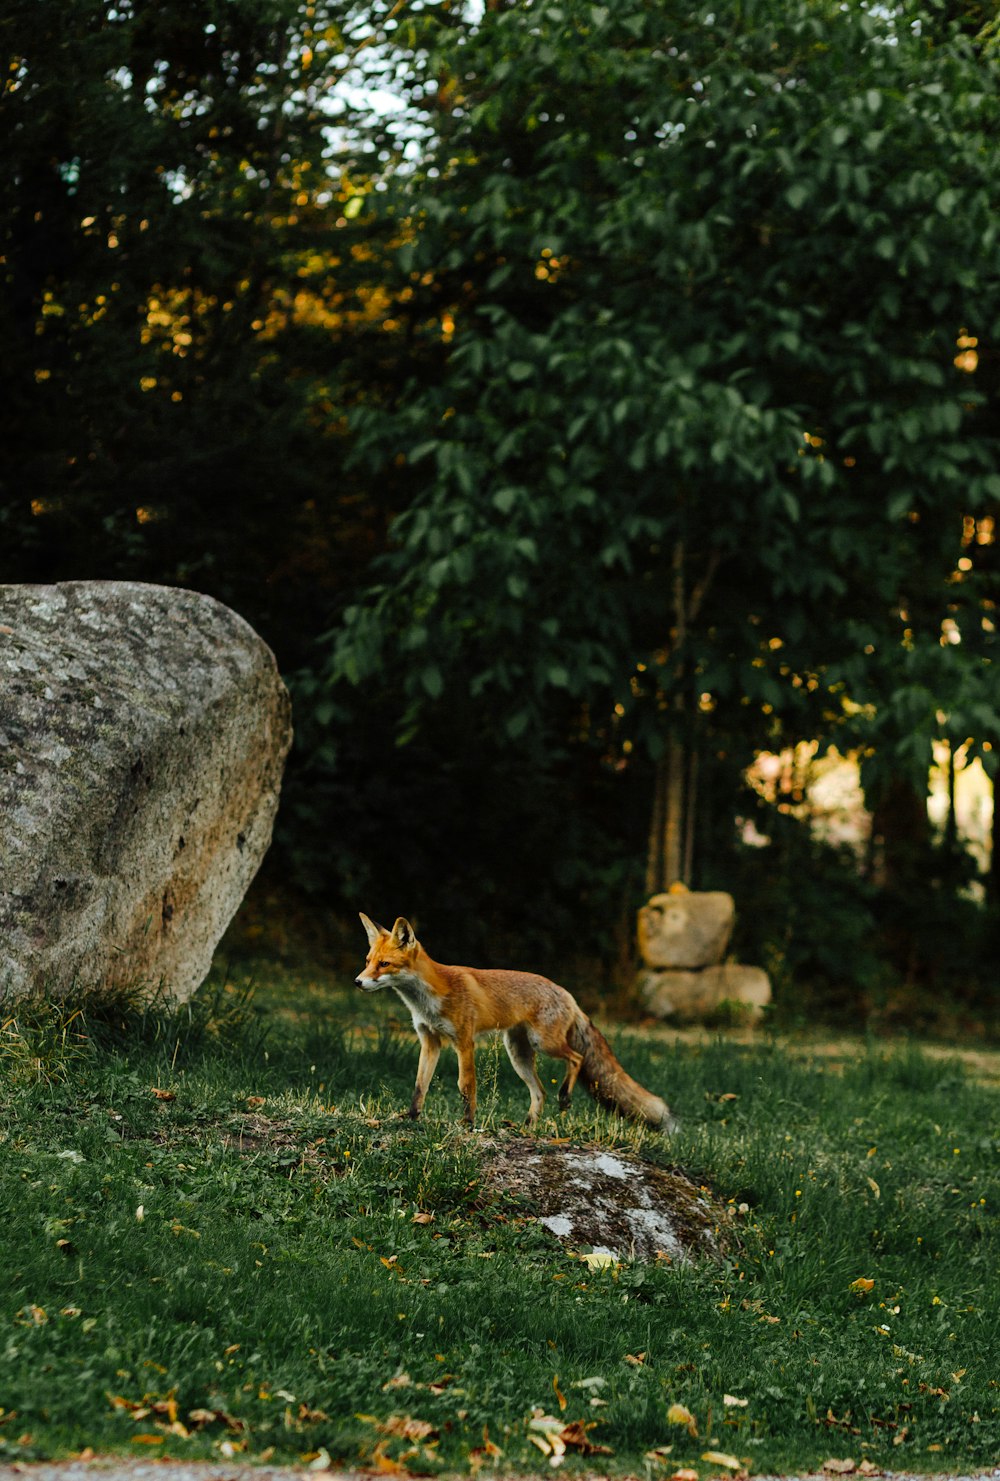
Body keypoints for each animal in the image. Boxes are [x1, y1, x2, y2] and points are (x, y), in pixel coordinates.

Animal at [355, 912, 675, 1131]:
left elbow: (465, 1085)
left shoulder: (464, 1041)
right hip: (518, 1054)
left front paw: (467, 1122)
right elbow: (420, 1085)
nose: (358, 982)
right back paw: (528, 1124)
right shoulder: (429, 1041)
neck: (428, 1000)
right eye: (368, 961)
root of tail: (566, 993)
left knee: (577, 1057)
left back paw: (564, 1098)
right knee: (540, 1090)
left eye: (384, 964)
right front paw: (411, 1117)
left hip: (543, 1043)